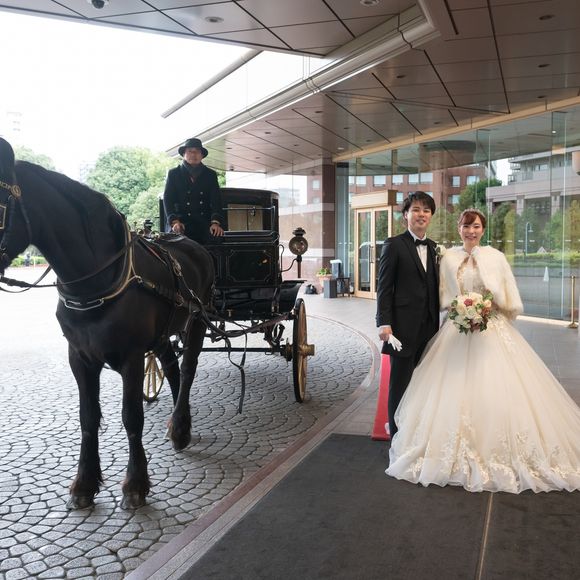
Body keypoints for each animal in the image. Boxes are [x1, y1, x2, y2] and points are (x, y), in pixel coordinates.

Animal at [0, 138, 214, 509]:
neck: (96, 280)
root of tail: (194, 246)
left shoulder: (131, 357)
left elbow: (131, 417)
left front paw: (136, 483)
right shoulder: (79, 357)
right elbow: (88, 416)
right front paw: (85, 481)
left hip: (197, 320)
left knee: (187, 370)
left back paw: (180, 423)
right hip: (162, 335)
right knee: (172, 368)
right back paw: (179, 424)